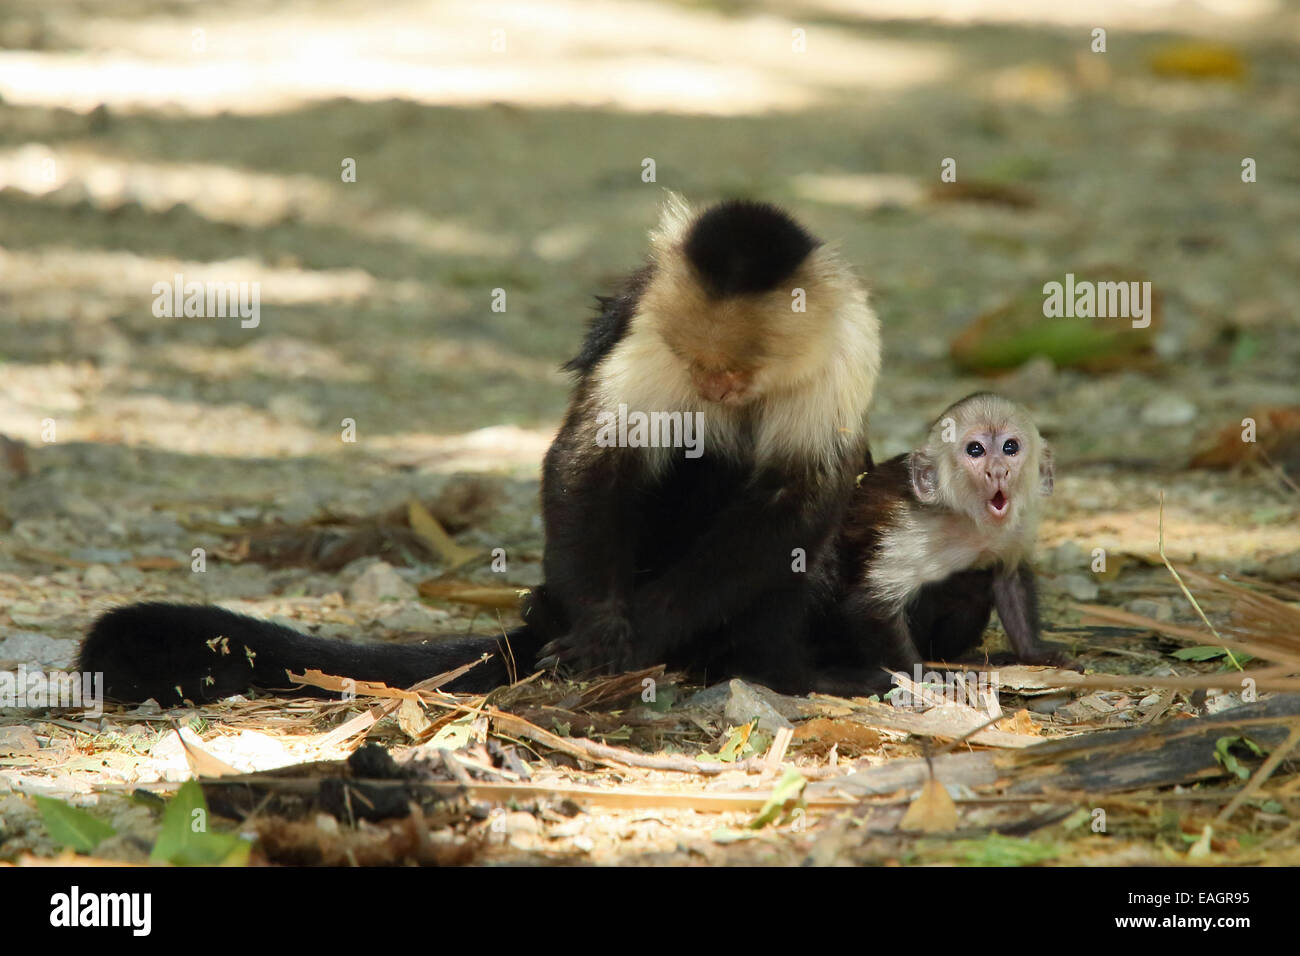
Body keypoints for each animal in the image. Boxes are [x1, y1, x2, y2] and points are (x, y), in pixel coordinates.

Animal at [826, 392, 1071, 691]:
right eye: (975, 450)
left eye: (1010, 447)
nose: (998, 471)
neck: (968, 520)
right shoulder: (908, 526)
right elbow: (870, 604)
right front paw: (922, 673)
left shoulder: (1017, 526)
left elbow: (1009, 577)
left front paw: (1033, 653)